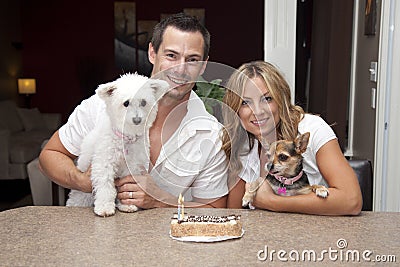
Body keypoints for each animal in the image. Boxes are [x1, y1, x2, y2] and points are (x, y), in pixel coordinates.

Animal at [66, 73, 170, 218]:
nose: (137, 119)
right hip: (81, 193)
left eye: (143, 102)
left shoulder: (131, 168)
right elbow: (105, 186)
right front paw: (104, 207)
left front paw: (127, 206)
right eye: (126, 103)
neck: (126, 138)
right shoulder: (104, 164)